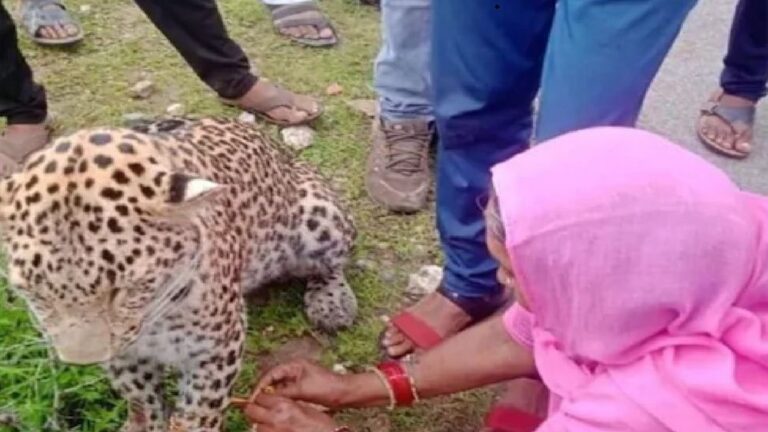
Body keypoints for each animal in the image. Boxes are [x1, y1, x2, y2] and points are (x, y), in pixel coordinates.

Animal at [0, 116, 358, 430]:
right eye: (35, 294)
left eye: (126, 289)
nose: (80, 362)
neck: (155, 316)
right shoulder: (126, 354)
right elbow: (143, 398)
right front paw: (144, 421)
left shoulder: (216, 347)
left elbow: (201, 410)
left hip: (320, 217)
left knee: (333, 262)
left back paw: (332, 302)